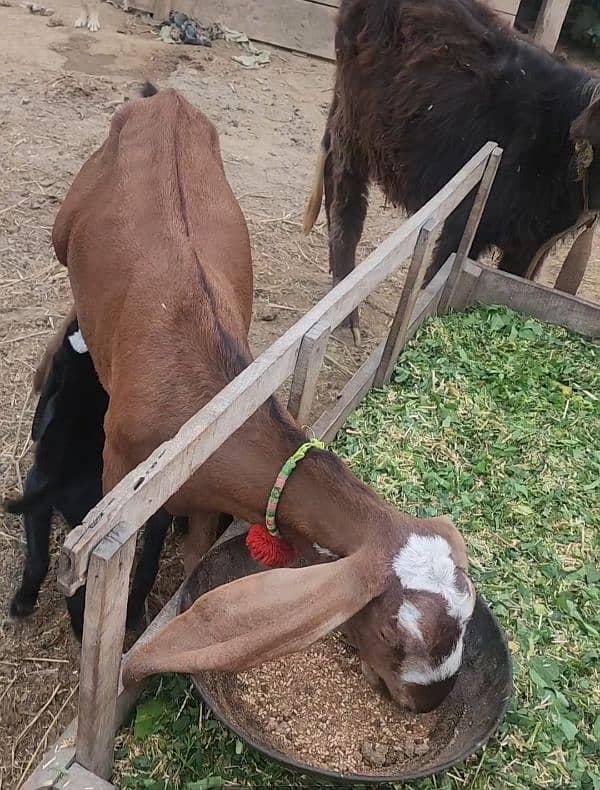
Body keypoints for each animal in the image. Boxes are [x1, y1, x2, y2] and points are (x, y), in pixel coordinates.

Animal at [51, 86, 476, 716]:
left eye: (468, 618)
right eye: (394, 631)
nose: (428, 702)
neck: (206, 413)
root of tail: (167, 99)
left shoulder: (207, 495)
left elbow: (196, 557)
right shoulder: (116, 464)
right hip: (66, 224)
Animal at [304, 0, 600, 336]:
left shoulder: (531, 246)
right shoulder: (465, 220)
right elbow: (437, 277)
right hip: (354, 126)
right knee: (346, 201)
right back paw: (347, 318)